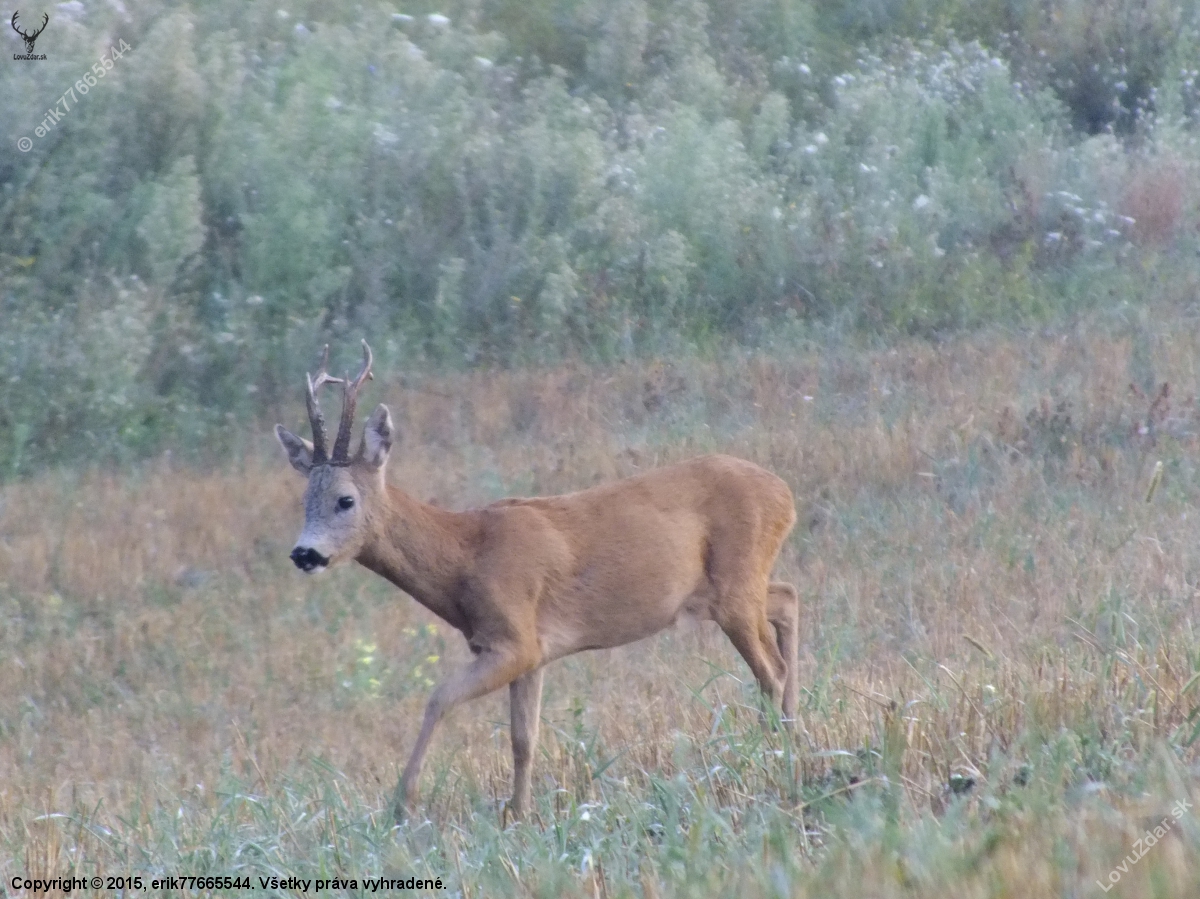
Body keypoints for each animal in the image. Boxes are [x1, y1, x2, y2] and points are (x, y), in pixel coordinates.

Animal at [275, 341, 801, 820]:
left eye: (345, 500)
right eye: (304, 500)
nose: (303, 554)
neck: (466, 555)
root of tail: (785, 494)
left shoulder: (514, 639)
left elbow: (438, 699)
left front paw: (401, 805)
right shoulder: (532, 652)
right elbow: (523, 737)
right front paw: (519, 813)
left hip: (734, 584)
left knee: (769, 669)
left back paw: (771, 754)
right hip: (736, 586)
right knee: (787, 600)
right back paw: (793, 733)